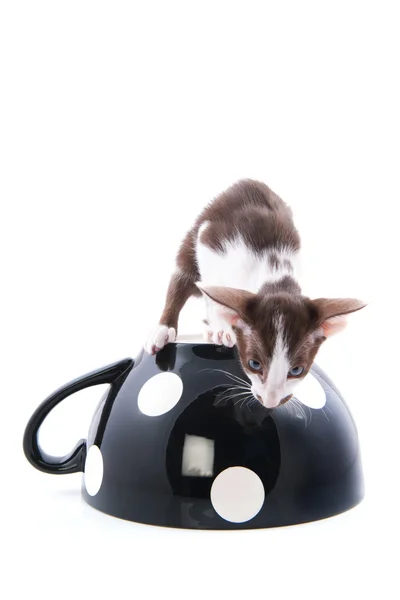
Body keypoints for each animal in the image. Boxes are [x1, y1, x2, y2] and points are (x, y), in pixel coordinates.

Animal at [144, 178, 366, 410]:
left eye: (297, 371)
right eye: (254, 364)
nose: (270, 402)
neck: (276, 279)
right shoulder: (211, 240)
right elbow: (209, 286)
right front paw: (221, 328)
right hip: (195, 234)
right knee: (183, 276)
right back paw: (164, 328)